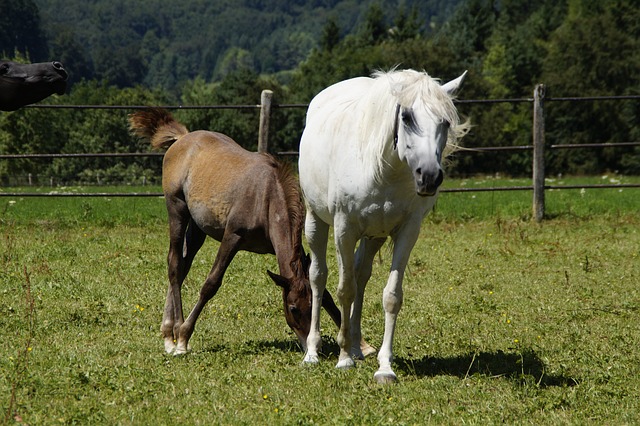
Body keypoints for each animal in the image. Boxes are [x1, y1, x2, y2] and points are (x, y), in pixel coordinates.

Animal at [298, 69, 468, 382]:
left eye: (446, 121)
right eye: (407, 117)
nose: (429, 176)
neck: (384, 171)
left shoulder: (407, 231)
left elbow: (390, 296)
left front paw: (384, 366)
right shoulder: (344, 229)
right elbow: (344, 290)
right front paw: (342, 359)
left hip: (373, 236)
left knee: (361, 275)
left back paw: (356, 346)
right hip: (315, 220)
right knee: (318, 276)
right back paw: (313, 352)